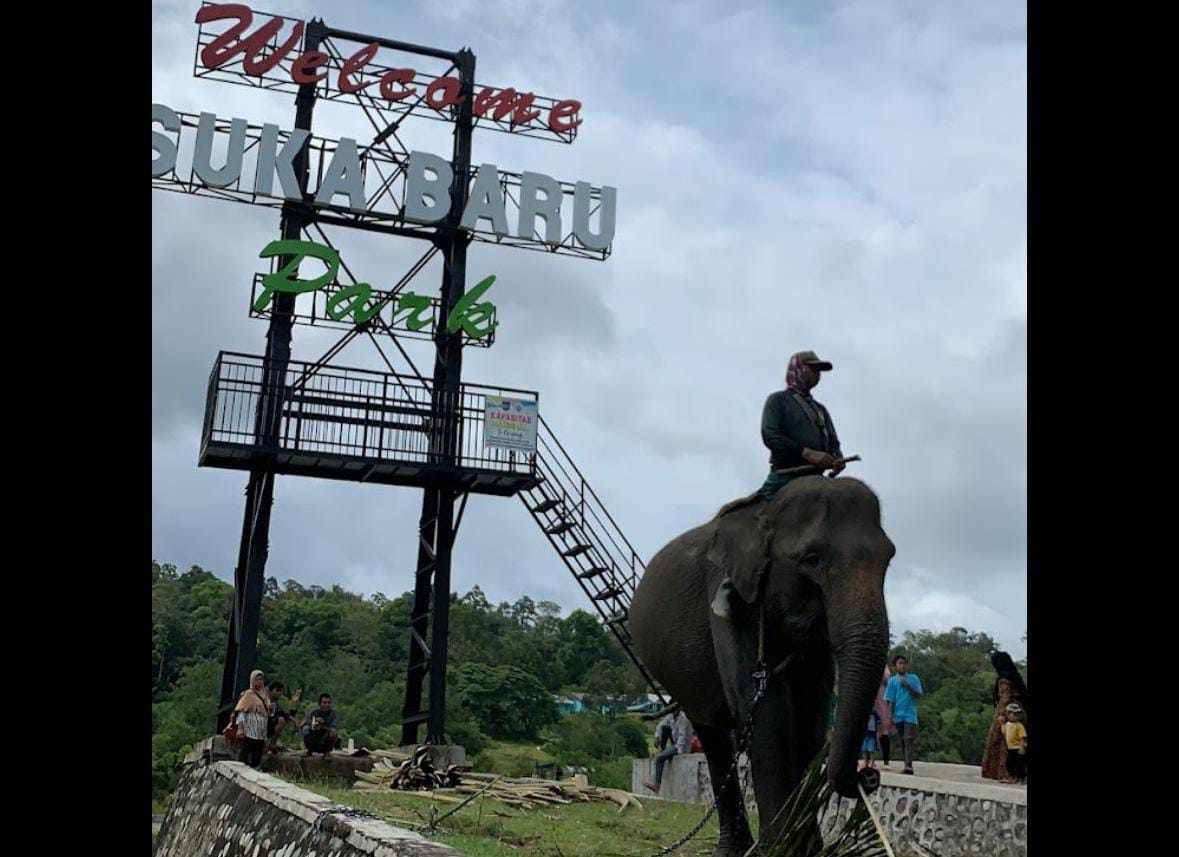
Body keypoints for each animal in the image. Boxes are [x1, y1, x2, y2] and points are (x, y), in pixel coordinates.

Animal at [627, 478, 891, 853]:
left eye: (889, 558)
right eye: (811, 558)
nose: (867, 775)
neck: (766, 511)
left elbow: (811, 709)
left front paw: (807, 847)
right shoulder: (727, 593)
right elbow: (766, 705)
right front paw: (781, 849)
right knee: (712, 734)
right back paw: (734, 849)